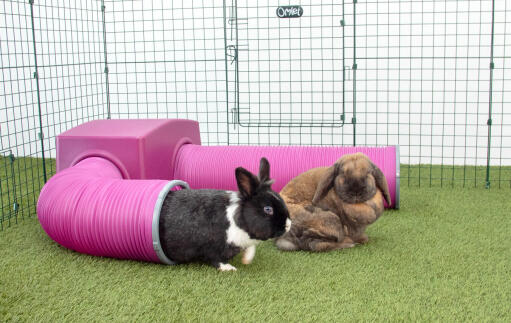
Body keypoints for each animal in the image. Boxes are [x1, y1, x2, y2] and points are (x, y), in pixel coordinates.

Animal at [160, 158, 290, 272]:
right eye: (268, 209)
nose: (288, 225)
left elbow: (251, 248)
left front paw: (246, 260)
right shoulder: (212, 247)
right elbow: (216, 259)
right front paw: (229, 268)